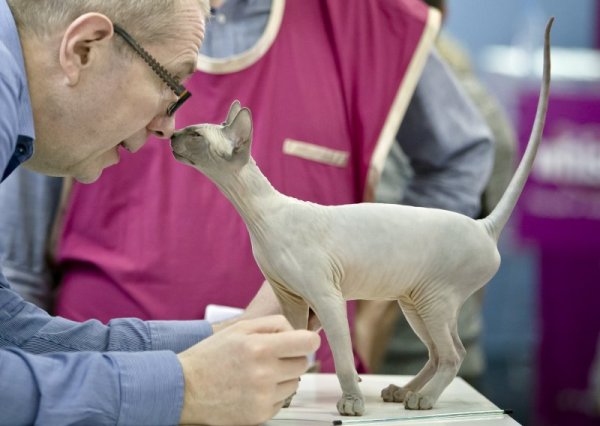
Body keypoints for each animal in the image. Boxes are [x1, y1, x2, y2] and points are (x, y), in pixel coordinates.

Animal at [170, 20, 552, 416]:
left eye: (194, 134)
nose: (171, 135)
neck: (260, 216)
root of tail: (482, 225)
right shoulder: (291, 300)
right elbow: (291, 348)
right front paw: (284, 397)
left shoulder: (326, 297)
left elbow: (341, 359)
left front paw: (351, 402)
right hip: (414, 302)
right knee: (436, 352)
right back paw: (402, 390)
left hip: (434, 298)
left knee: (453, 354)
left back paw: (422, 398)